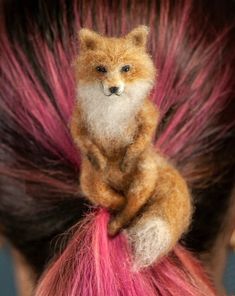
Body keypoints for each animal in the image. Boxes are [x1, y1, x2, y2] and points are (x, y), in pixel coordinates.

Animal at [70, 26, 192, 268]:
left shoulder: (147, 113)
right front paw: (99, 158)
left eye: (126, 68)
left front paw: (128, 158)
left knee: (133, 206)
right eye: (100, 69)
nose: (114, 88)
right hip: (91, 182)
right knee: (115, 199)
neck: (111, 110)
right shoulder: (79, 118)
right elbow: (82, 138)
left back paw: (117, 223)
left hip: (144, 178)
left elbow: (145, 133)